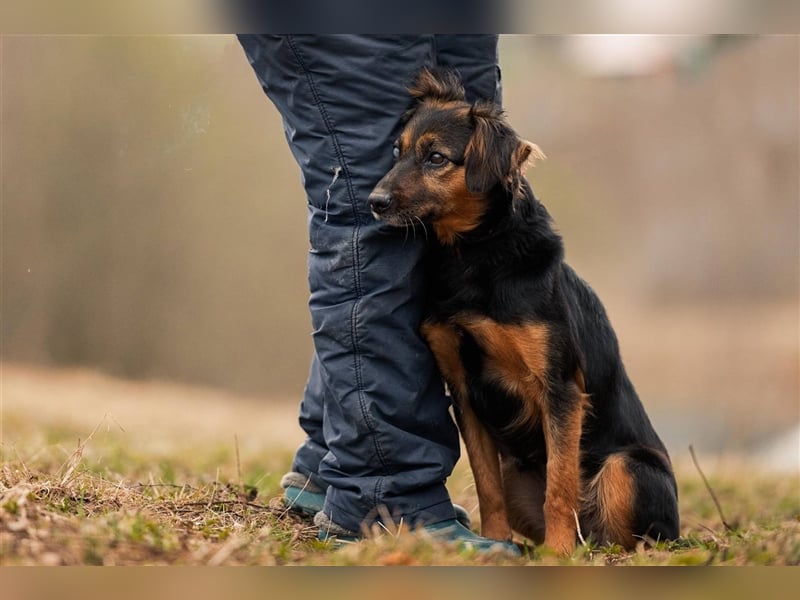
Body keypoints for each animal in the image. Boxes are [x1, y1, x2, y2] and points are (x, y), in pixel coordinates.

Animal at [370, 68, 680, 556]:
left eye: (436, 158)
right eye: (397, 152)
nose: (374, 201)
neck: (475, 256)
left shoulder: (560, 389)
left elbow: (559, 485)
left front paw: (559, 553)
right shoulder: (464, 391)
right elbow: (486, 485)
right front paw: (496, 543)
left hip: (627, 468)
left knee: (631, 535)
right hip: (519, 473)